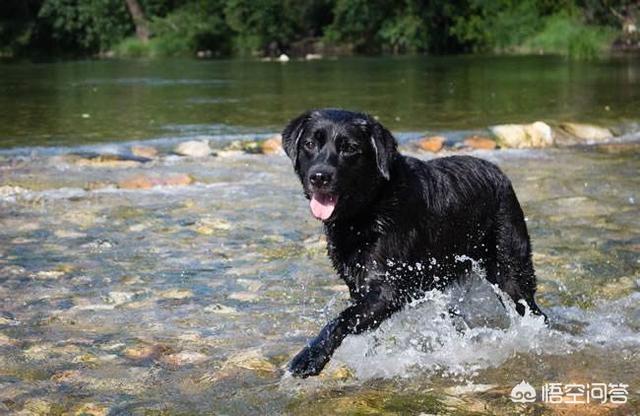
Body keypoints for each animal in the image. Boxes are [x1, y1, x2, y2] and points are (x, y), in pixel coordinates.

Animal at [282, 109, 544, 378]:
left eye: (350, 148)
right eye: (309, 144)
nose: (319, 176)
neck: (369, 208)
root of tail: (499, 173)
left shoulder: (389, 288)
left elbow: (342, 319)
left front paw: (310, 357)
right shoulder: (360, 286)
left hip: (510, 270)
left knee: (532, 309)